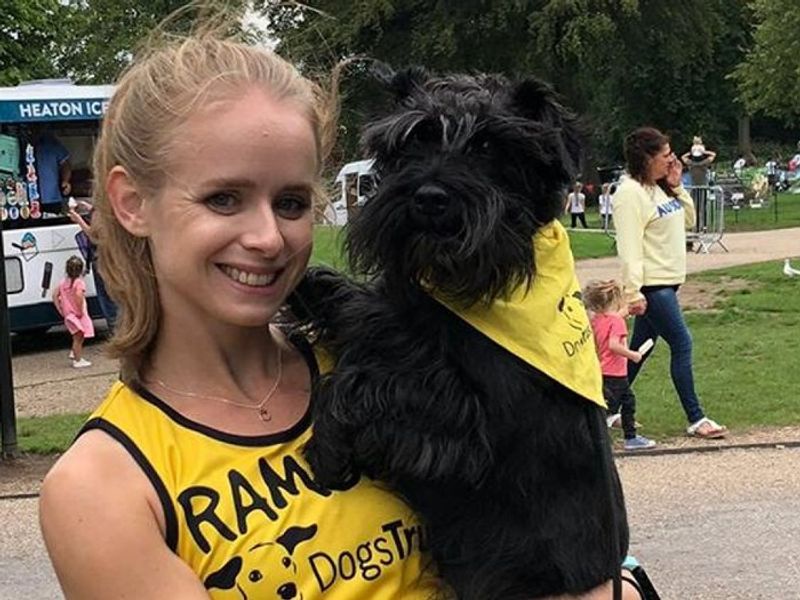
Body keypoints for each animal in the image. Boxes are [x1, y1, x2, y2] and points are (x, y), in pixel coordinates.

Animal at [290, 68, 628, 596]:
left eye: (489, 145)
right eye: (415, 139)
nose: (429, 198)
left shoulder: (465, 423)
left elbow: (356, 383)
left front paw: (325, 448)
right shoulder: (393, 313)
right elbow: (362, 309)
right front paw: (303, 286)